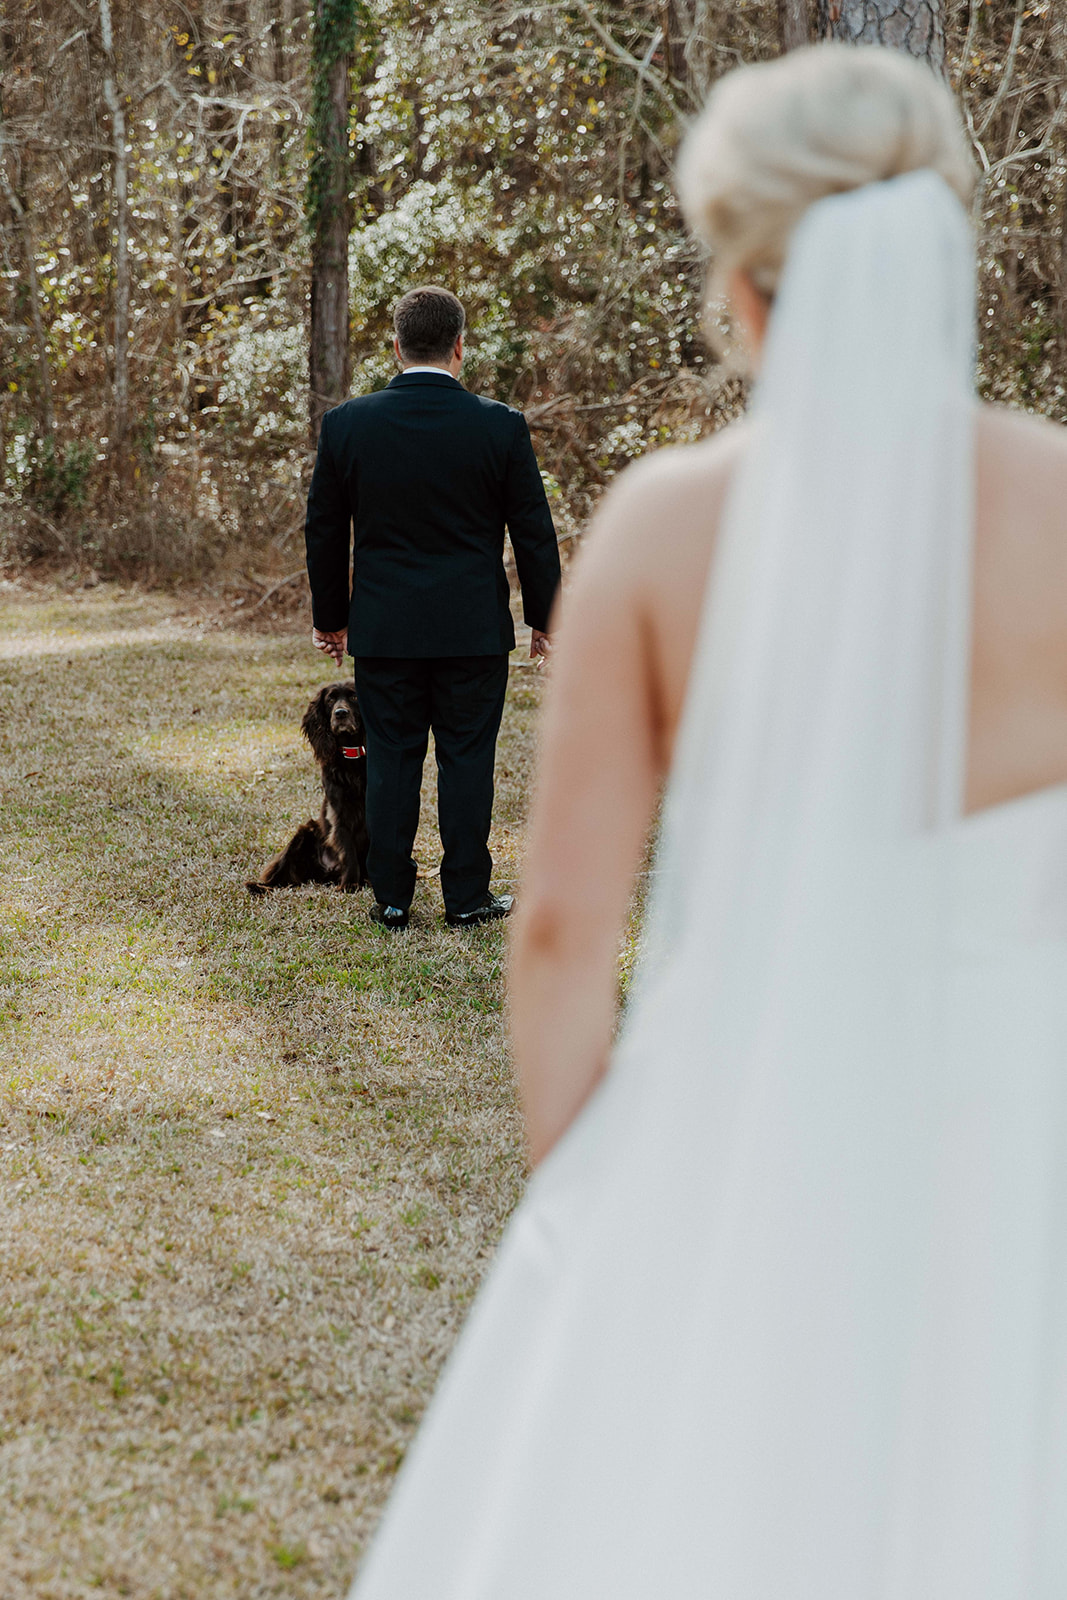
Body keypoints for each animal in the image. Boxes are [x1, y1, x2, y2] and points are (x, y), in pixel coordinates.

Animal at [249, 681, 374, 896]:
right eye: (331, 699)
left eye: (354, 697)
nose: (340, 713)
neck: (352, 757)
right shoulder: (340, 814)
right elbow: (348, 851)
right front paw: (350, 884)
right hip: (303, 834)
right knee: (280, 878)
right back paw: (257, 887)